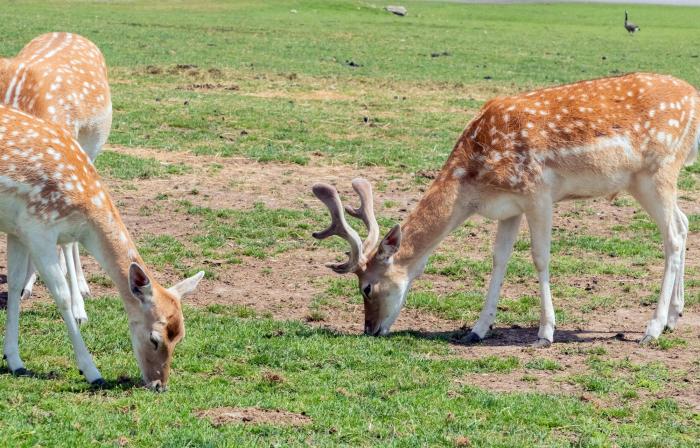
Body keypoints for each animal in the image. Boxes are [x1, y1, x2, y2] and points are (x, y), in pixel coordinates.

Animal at [0, 104, 203, 389]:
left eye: (180, 336)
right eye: (154, 338)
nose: (159, 385)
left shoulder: (17, 230)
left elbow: (15, 284)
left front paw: (15, 360)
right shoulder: (38, 229)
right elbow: (62, 296)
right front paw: (92, 371)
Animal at [312, 72, 699, 347]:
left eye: (367, 288)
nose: (370, 329)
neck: (474, 180)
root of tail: (694, 98)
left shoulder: (538, 193)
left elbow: (540, 257)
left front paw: (545, 332)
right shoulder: (508, 208)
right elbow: (499, 259)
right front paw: (478, 328)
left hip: (657, 172)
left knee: (673, 235)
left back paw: (652, 329)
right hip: (646, 182)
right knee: (684, 222)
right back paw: (674, 317)